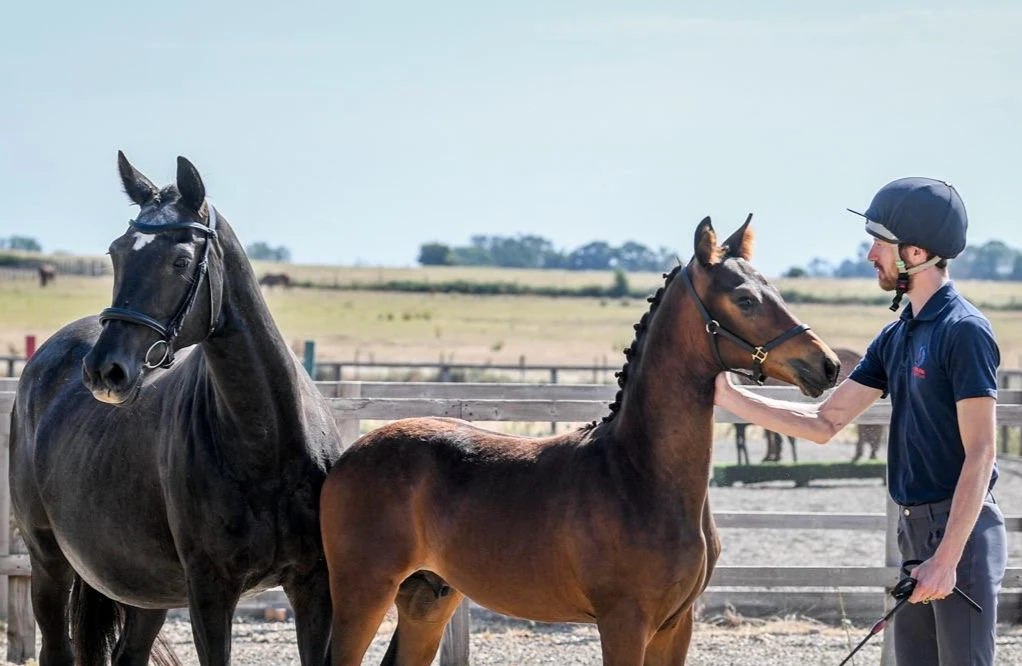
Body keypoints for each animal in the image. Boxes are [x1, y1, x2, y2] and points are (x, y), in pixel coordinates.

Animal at [10, 153, 343, 666]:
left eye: (181, 260)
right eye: (116, 252)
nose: (105, 370)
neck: (267, 444)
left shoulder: (313, 585)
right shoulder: (209, 591)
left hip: (145, 588)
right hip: (48, 561)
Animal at [319, 215, 841, 666]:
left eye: (775, 291)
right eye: (746, 299)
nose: (828, 365)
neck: (640, 475)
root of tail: (350, 455)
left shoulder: (676, 626)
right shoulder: (624, 622)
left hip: (428, 599)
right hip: (364, 591)